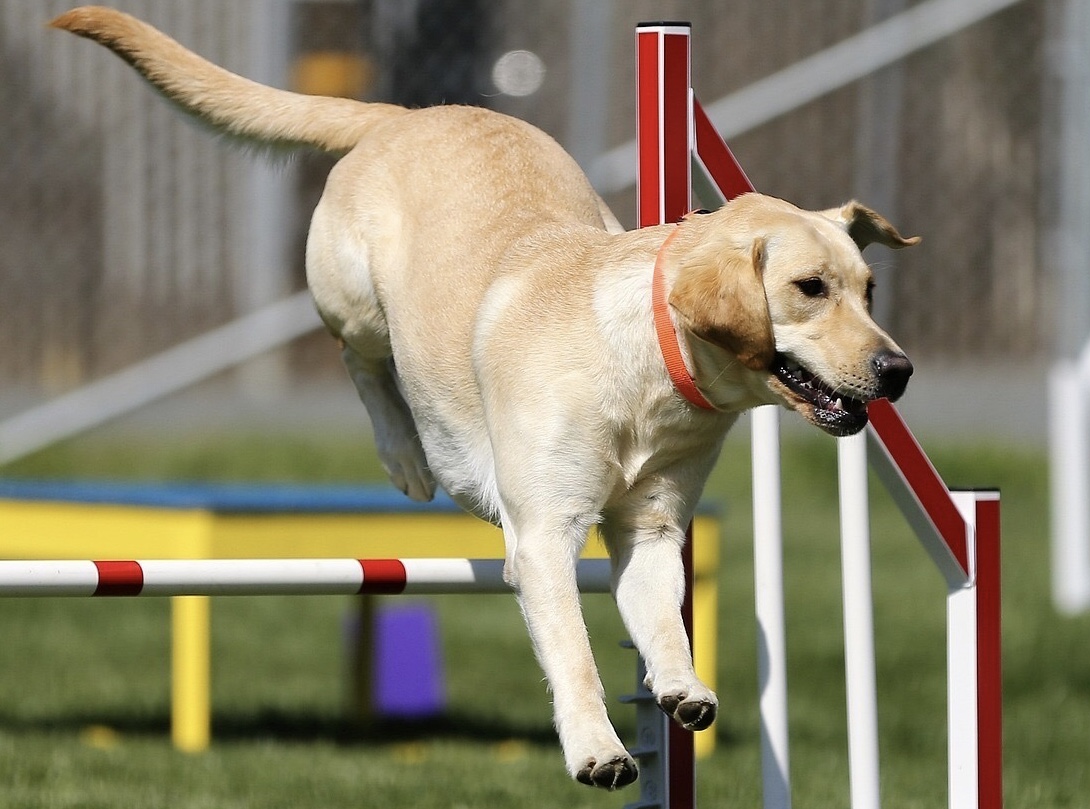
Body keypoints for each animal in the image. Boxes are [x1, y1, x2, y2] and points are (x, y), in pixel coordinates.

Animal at [53, 6, 919, 793]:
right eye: (809, 288)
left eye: (870, 289)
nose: (899, 369)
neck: (647, 367)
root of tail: (408, 113)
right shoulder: (543, 537)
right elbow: (574, 652)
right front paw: (598, 750)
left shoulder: (651, 528)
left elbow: (666, 624)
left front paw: (681, 687)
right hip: (353, 298)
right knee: (361, 360)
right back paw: (405, 456)